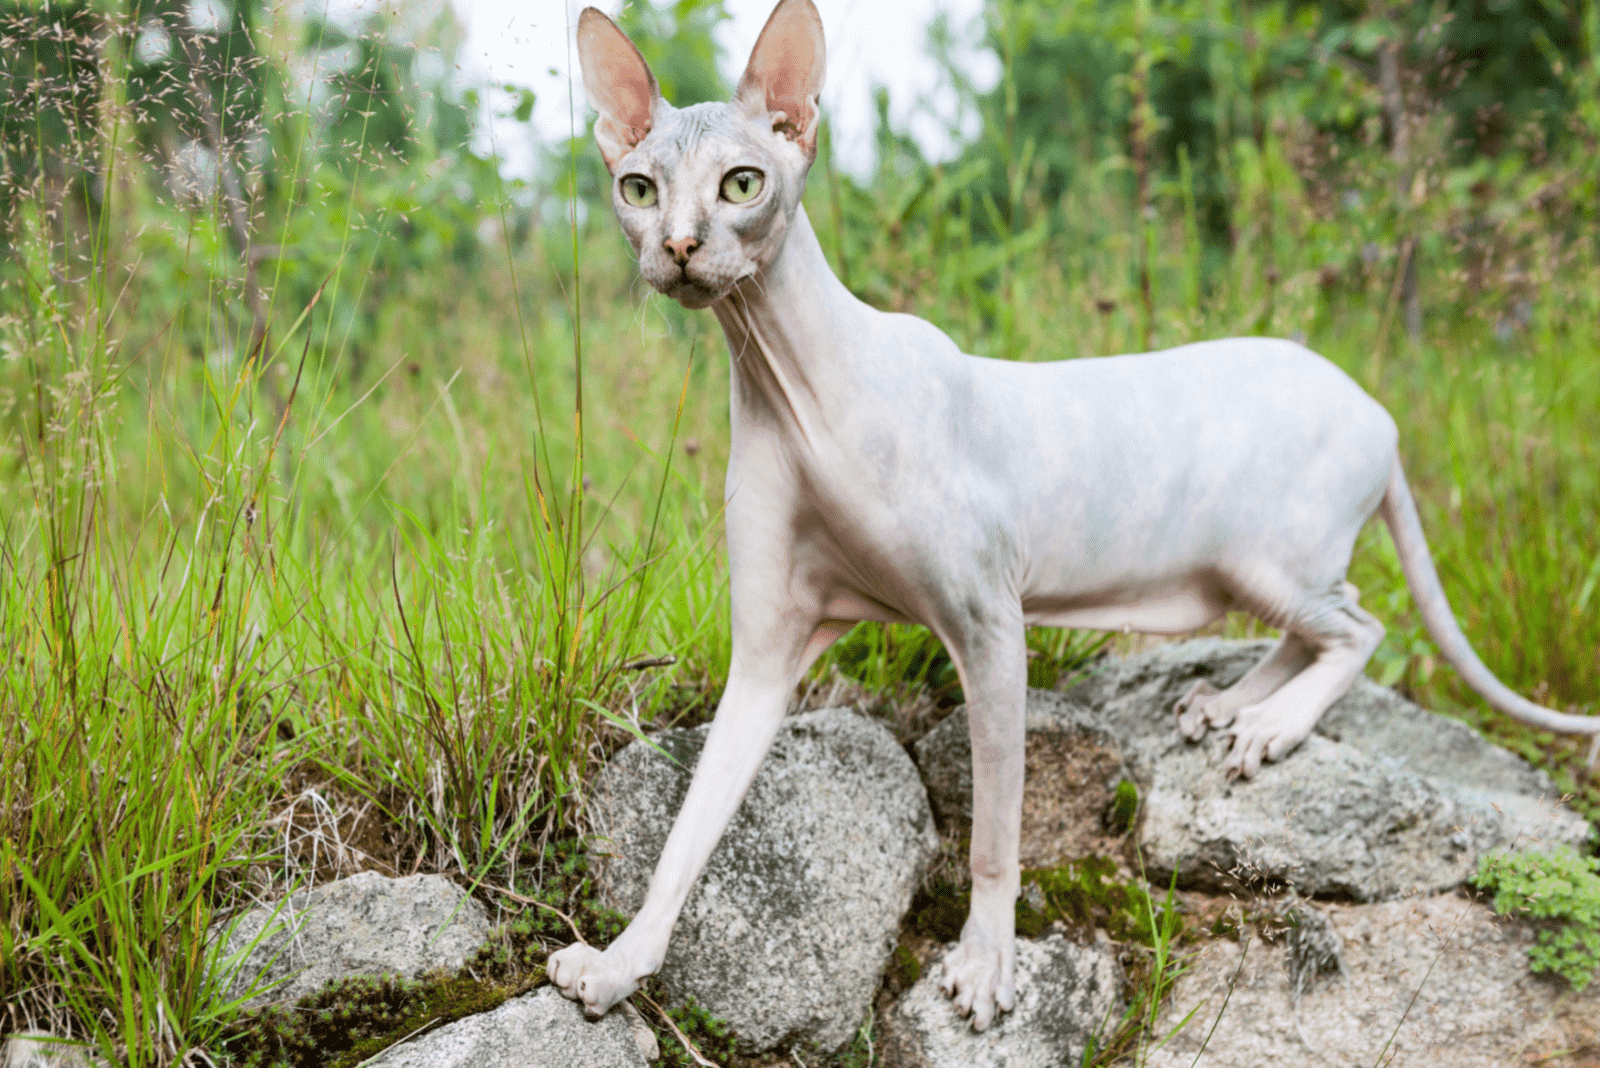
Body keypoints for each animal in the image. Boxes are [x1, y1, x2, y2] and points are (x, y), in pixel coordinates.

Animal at [550, 0, 1600, 1036]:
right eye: (638, 189)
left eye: (742, 184)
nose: (679, 247)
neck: (792, 390)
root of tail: (1377, 408)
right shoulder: (769, 650)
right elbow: (688, 831)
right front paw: (616, 964)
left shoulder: (989, 623)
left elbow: (996, 830)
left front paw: (986, 965)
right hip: (1245, 569)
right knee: (1319, 627)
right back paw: (1231, 704)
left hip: (1266, 556)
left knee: (1360, 626)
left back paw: (1271, 725)